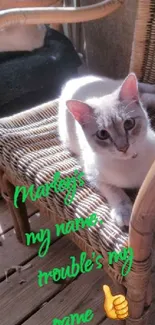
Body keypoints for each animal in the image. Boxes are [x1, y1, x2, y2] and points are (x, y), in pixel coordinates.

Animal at [57, 72, 155, 227]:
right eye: (102, 134)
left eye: (129, 124)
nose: (123, 147)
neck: (128, 163)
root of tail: (75, 79)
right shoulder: (95, 176)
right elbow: (115, 191)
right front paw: (123, 212)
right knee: (144, 96)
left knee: (144, 91)